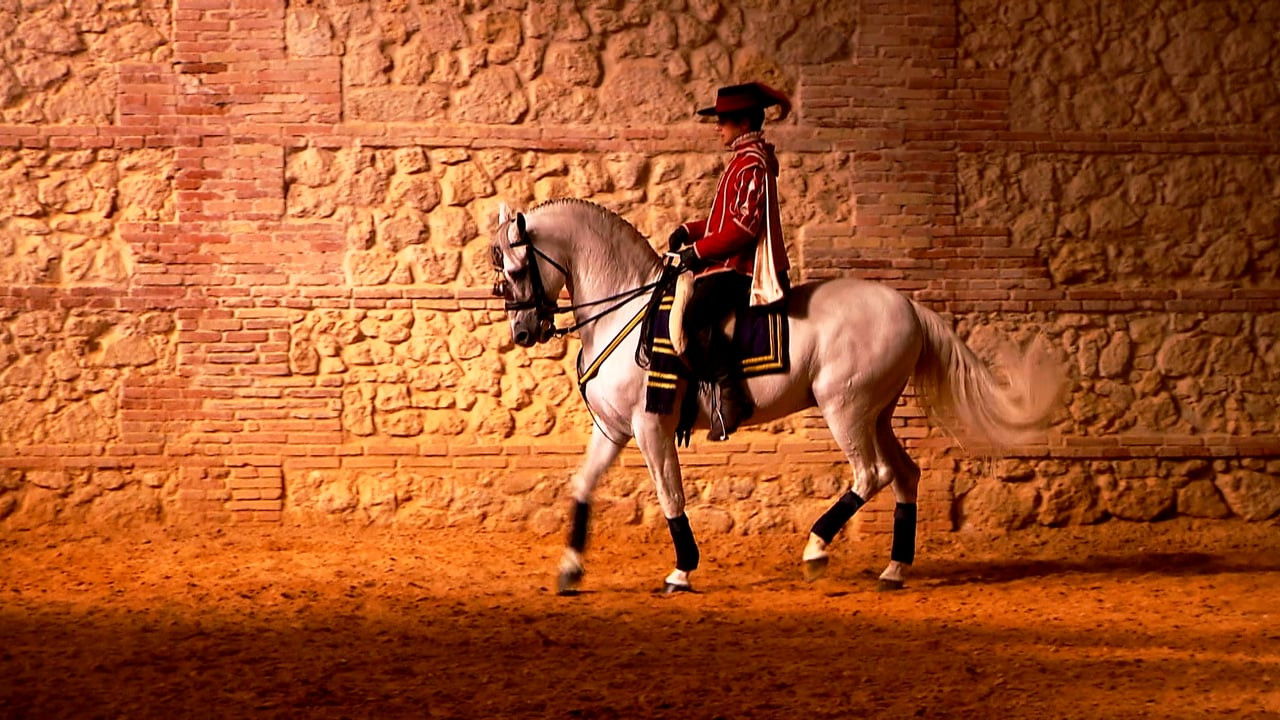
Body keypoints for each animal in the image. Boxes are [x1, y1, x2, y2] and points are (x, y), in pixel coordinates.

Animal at [489, 199, 1060, 594]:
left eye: (515, 270)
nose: (523, 332)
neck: (625, 311)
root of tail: (908, 308)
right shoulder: (612, 429)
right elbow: (582, 485)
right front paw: (570, 568)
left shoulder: (651, 427)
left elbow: (671, 496)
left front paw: (681, 571)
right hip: (876, 413)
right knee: (905, 474)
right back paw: (894, 568)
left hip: (845, 408)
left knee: (871, 474)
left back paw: (816, 550)